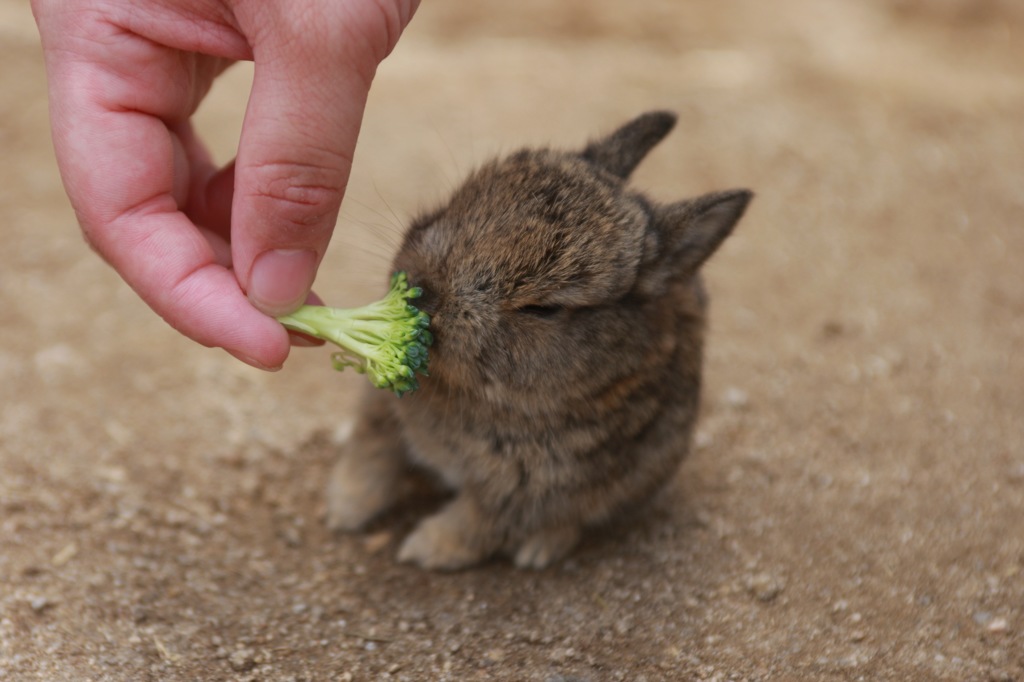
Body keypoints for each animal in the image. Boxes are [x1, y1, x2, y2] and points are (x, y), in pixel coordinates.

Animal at [327, 111, 753, 569]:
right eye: (456, 204)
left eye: (542, 309)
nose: (422, 295)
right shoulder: (383, 414)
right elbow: (373, 454)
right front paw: (343, 509)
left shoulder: (523, 489)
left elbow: (476, 525)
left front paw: (422, 549)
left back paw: (539, 549)